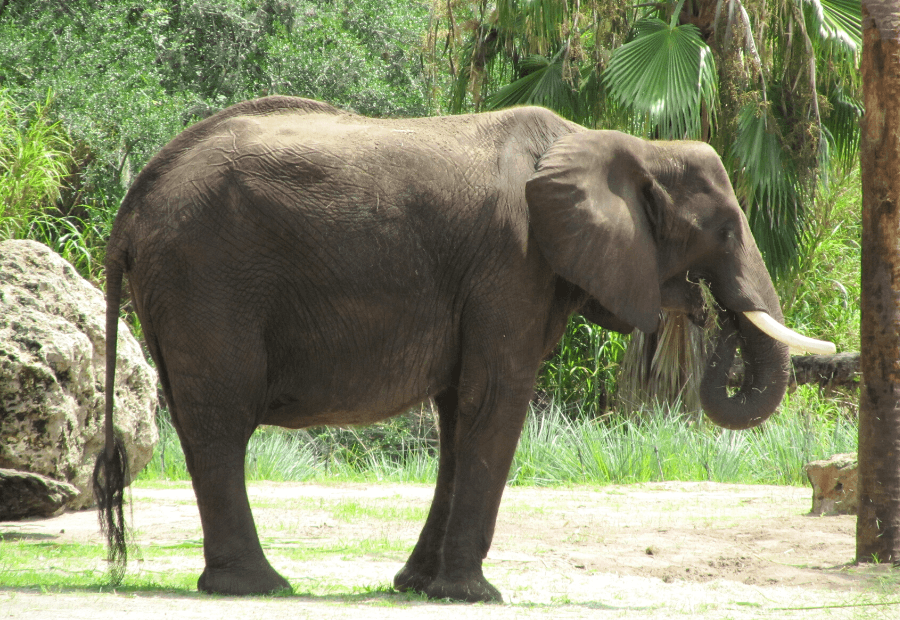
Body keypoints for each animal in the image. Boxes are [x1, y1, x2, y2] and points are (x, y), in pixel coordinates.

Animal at [95, 94, 832, 604]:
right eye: (724, 229)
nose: (713, 313)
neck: (622, 144)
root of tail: (131, 207)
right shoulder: (512, 263)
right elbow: (494, 400)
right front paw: (475, 596)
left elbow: (458, 413)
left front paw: (418, 587)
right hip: (204, 277)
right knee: (220, 420)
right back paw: (260, 586)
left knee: (200, 420)